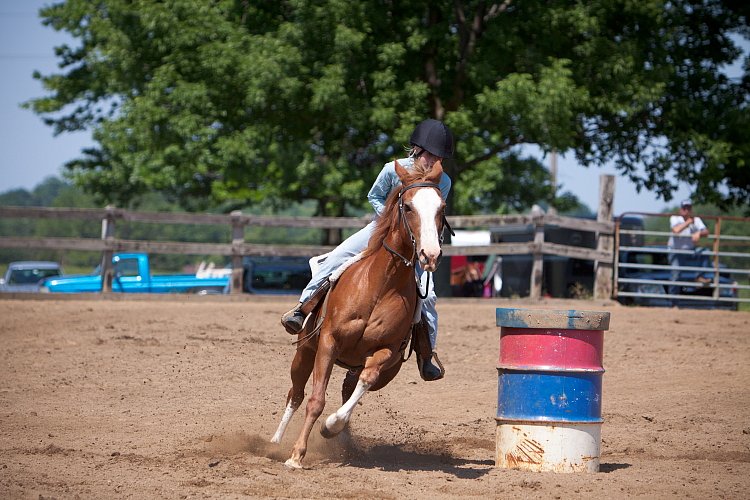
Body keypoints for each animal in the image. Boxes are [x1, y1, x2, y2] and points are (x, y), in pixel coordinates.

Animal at [270, 159, 446, 468]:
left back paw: (342, 440)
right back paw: (276, 441)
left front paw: (330, 426)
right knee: (296, 393)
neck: (381, 285)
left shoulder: (385, 352)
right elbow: (316, 400)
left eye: (442, 207)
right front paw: (296, 456)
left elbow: (362, 385)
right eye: (408, 207)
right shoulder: (328, 342)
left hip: (374, 369)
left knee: (348, 390)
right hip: (305, 351)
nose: (430, 255)